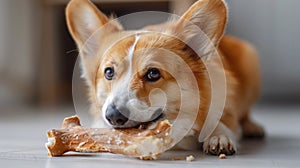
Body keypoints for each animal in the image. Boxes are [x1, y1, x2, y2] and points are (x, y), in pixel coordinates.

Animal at [66, 0, 264, 156]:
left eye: (153, 73)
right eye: (108, 72)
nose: (113, 116)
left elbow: (223, 120)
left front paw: (219, 136)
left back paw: (253, 127)